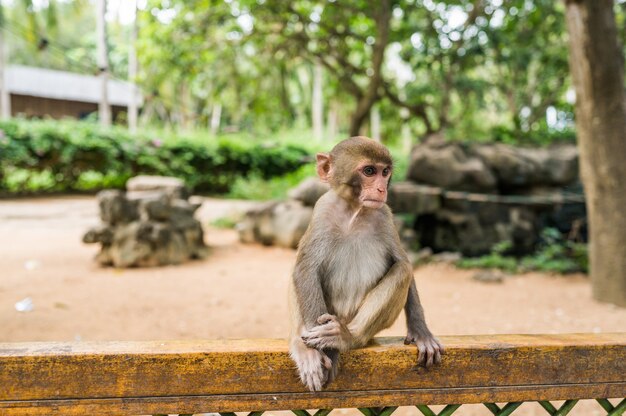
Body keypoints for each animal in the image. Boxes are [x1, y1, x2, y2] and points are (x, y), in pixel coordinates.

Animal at [288, 136, 444, 394]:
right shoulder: (322, 210)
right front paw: (321, 354)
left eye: (385, 172)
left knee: (402, 271)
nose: (382, 189)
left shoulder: (385, 216)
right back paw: (304, 347)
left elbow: (402, 262)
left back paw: (348, 337)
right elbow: (305, 270)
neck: (355, 211)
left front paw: (421, 332)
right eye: (369, 171)